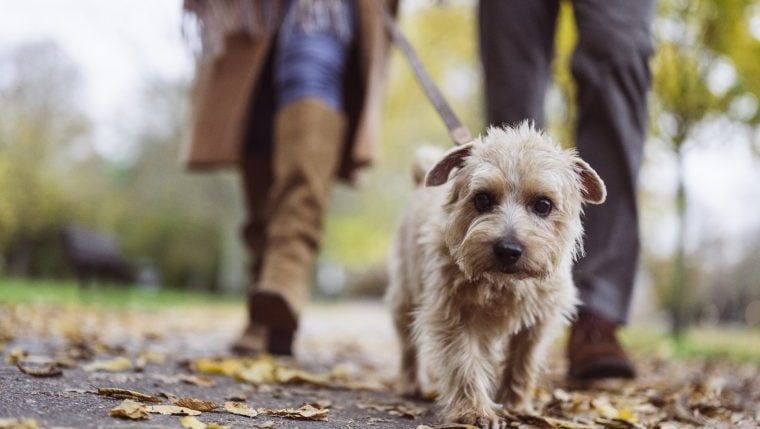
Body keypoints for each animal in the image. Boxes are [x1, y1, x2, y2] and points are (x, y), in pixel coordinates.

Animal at [386, 122, 604, 426]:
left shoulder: (540, 320)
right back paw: (412, 383)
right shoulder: (452, 314)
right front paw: (474, 410)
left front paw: (516, 404)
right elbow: (463, 362)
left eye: (543, 205)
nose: (508, 250)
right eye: (482, 199)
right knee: (408, 344)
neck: (505, 284)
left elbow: (523, 362)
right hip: (405, 294)